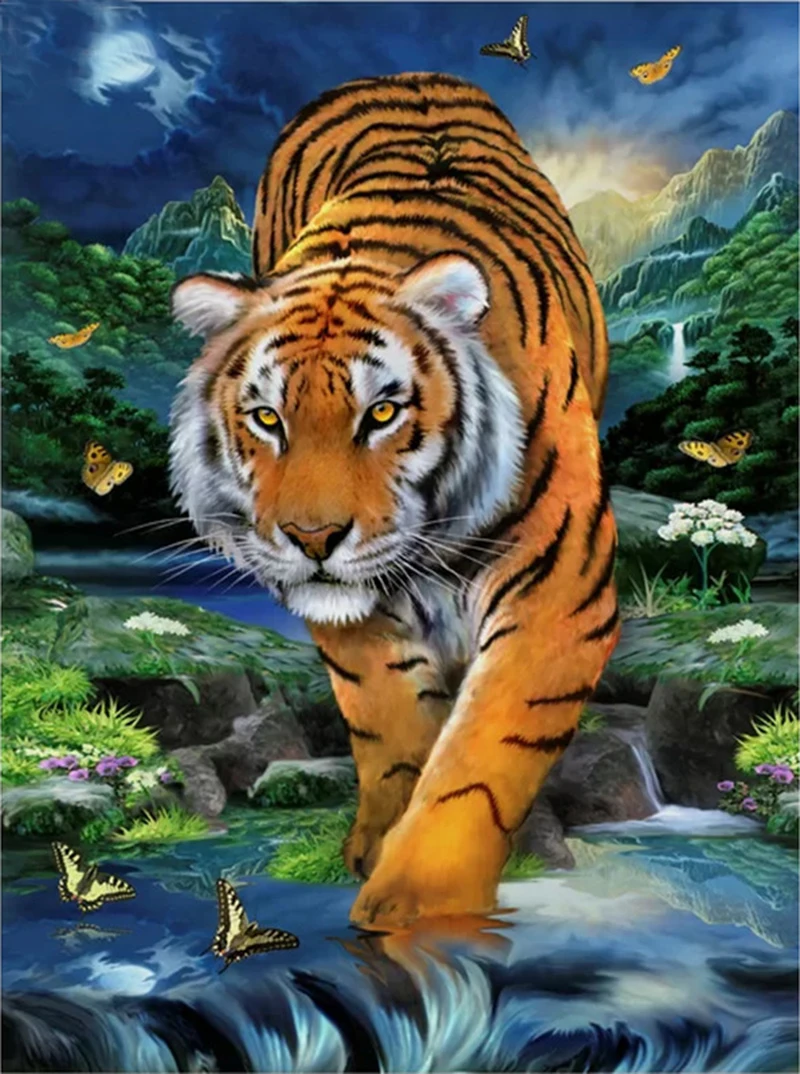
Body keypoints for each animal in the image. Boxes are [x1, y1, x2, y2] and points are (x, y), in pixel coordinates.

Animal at [169, 72, 619, 929]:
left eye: (381, 413)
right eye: (267, 419)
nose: (312, 538)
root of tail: (405, 75)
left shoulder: (559, 594)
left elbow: (480, 761)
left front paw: (415, 904)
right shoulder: (352, 618)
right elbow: (392, 724)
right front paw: (379, 847)